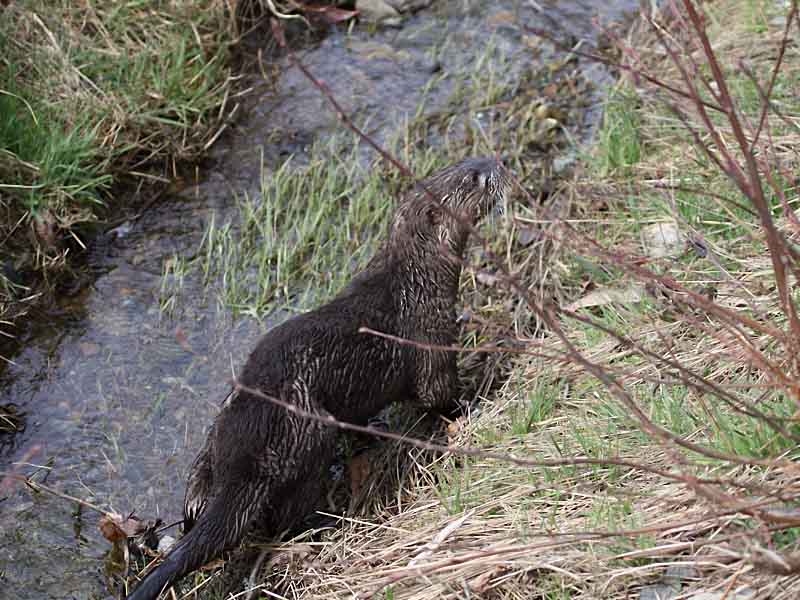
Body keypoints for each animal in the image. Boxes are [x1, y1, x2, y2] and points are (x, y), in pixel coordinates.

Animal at [128, 157, 510, 596]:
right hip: (309, 434)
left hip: (218, 429)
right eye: (473, 178)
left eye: (464, 163)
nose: (497, 162)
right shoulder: (429, 335)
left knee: (197, 489)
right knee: (284, 516)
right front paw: (474, 400)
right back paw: (321, 522)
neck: (416, 279)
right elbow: (437, 393)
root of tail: (244, 450)